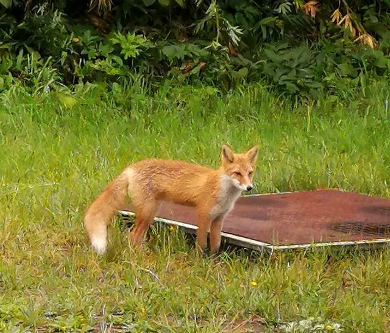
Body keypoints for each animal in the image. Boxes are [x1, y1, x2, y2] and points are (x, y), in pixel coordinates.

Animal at [84, 143, 258, 254]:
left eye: (250, 173)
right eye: (237, 173)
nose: (249, 187)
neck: (223, 192)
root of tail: (131, 167)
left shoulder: (219, 219)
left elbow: (216, 244)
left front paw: (214, 262)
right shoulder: (203, 215)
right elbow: (201, 243)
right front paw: (200, 261)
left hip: (150, 213)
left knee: (136, 237)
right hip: (147, 212)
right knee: (132, 236)